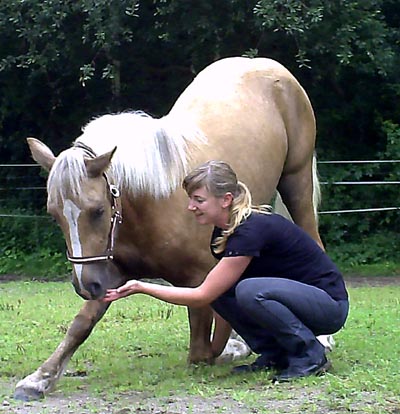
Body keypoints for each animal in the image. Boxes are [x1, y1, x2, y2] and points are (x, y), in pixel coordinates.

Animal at [16, 56, 326, 401]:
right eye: (54, 215)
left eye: (97, 211)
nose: (85, 285)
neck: (151, 204)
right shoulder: (109, 273)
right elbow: (81, 323)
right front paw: (39, 378)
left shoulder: (199, 279)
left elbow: (203, 350)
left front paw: (234, 348)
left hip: (296, 181)